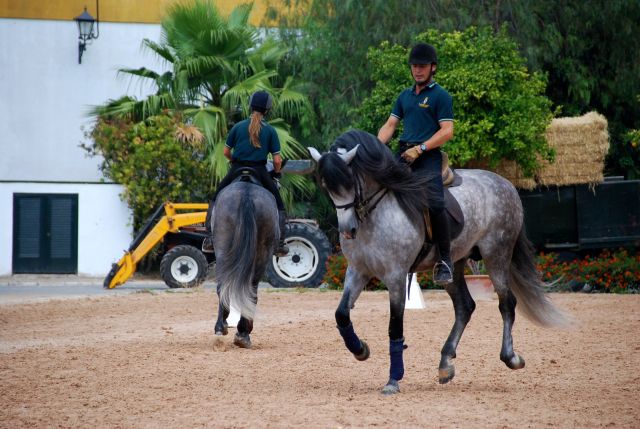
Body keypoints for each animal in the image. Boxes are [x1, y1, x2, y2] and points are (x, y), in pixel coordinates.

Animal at [212, 175, 280, 349]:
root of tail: (246, 195)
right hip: (262, 253)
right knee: (251, 290)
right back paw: (242, 333)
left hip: (223, 248)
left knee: (225, 287)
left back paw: (224, 328)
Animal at [308, 130, 569, 395]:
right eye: (326, 186)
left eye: (350, 182)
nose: (348, 230)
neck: (374, 214)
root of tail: (506, 184)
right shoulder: (357, 271)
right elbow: (342, 314)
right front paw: (360, 349)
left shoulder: (395, 276)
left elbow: (395, 326)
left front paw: (393, 380)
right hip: (455, 263)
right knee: (465, 306)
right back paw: (445, 363)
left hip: (497, 255)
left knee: (506, 303)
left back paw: (511, 357)